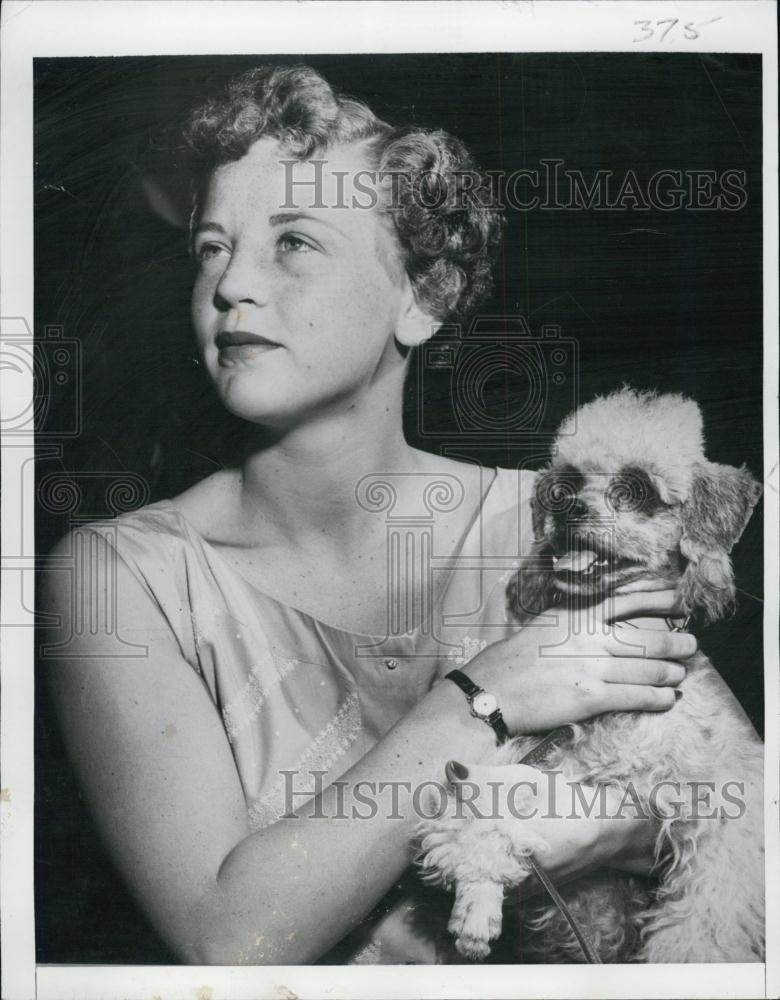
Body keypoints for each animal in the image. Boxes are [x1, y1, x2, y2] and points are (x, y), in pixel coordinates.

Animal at [418, 388, 764, 960]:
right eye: (565, 485)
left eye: (637, 489)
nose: (570, 508)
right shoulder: (539, 765)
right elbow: (485, 807)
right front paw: (477, 901)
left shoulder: (723, 807)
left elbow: (703, 923)